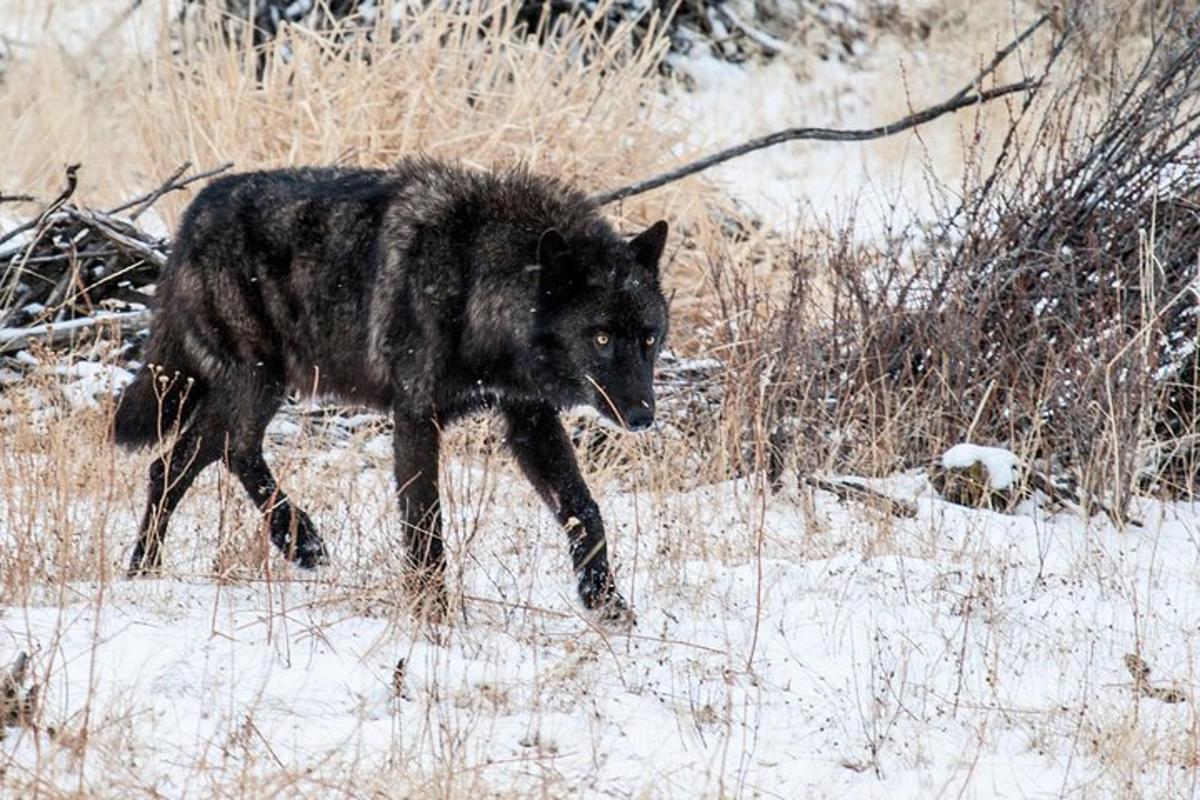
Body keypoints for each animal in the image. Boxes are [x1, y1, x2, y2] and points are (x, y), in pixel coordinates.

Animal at [113, 155, 672, 618]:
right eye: (601, 337)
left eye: (649, 337)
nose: (643, 416)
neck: (474, 281)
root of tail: (195, 209)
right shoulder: (416, 415)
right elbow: (426, 524)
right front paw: (433, 615)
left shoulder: (529, 419)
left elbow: (585, 509)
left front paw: (606, 601)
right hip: (259, 382)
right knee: (216, 453)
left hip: (256, 388)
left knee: (186, 460)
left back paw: (180, 563)